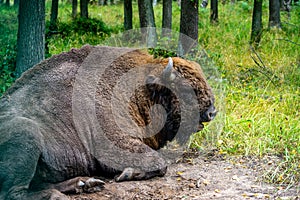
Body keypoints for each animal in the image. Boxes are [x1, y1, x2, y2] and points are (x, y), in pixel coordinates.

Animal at [0, 45, 216, 200]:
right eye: (186, 89)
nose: (212, 112)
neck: (141, 90)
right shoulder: (114, 144)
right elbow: (160, 162)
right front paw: (127, 174)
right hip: (27, 133)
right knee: (12, 193)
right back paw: (58, 195)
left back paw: (83, 184)